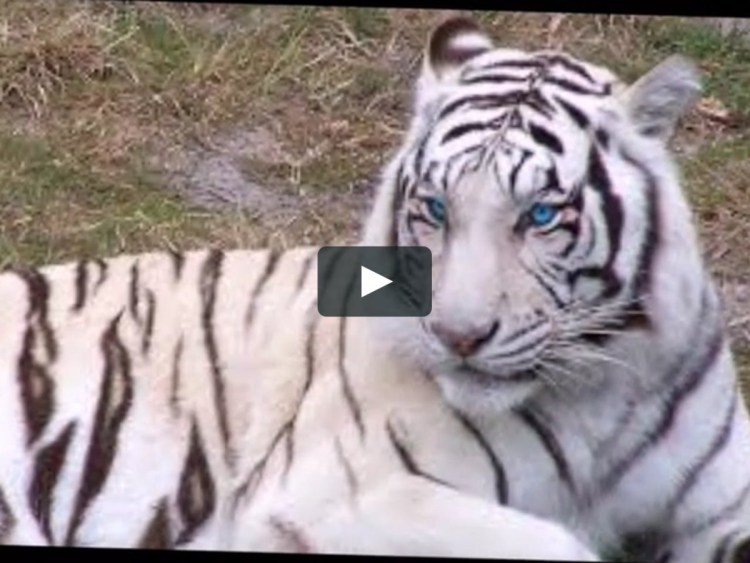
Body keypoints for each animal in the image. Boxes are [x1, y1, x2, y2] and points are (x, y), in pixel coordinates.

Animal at [0, 13, 747, 563]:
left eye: (539, 216)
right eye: (436, 209)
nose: (458, 337)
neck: (601, 391)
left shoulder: (723, 502)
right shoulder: (340, 496)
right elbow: (557, 543)